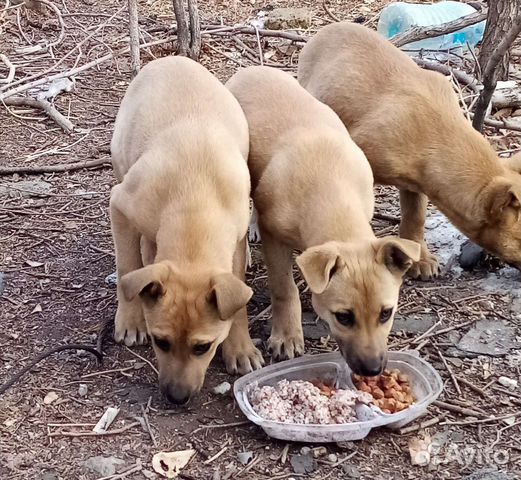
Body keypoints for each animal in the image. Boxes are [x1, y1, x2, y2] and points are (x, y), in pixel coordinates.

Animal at [110, 57, 264, 404]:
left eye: (202, 347)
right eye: (160, 342)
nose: (177, 398)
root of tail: (173, 58)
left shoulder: (233, 242)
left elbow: (236, 302)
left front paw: (240, 347)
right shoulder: (121, 206)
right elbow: (127, 265)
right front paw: (131, 319)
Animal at [226, 66, 418, 376]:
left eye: (386, 313)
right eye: (344, 317)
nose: (372, 370)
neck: (331, 190)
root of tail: (251, 69)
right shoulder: (273, 236)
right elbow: (284, 287)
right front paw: (287, 335)